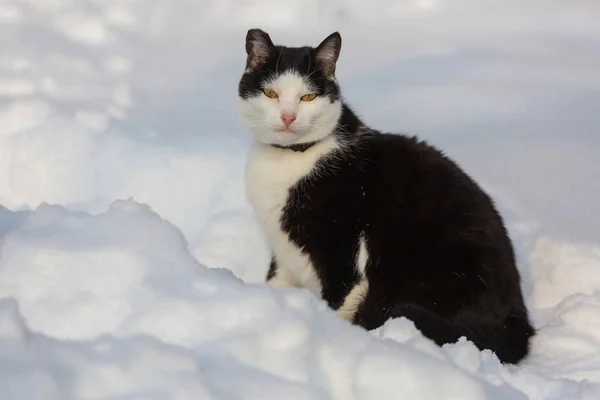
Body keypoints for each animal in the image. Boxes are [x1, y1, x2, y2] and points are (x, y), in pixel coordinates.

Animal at [237, 28, 536, 366]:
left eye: (308, 97)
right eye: (271, 93)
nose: (288, 117)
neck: (287, 161)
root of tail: (519, 321)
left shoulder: (344, 257)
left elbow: (338, 307)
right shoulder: (282, 252)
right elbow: (274, 282)